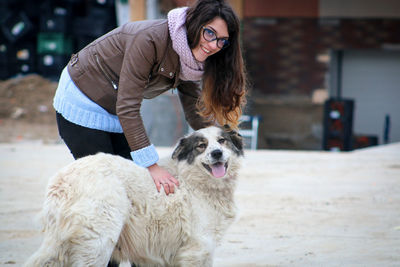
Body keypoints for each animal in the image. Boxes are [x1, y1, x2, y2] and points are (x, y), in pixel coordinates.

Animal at [25, 126, 244, 266]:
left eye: (222, 141)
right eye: (201, 145)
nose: (217, 153)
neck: (190, 180)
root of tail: (62, 180)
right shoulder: (197, 250)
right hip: (98, 243)